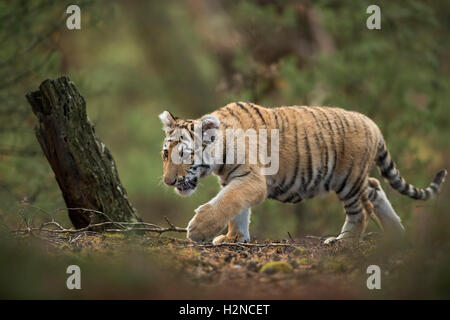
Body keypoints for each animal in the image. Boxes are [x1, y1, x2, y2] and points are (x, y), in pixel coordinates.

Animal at [158, 102, 446, 245]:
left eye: (184, 155)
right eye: (165, 155)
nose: (168, 182)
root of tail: (371, 123)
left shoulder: (253, 180)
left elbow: (228, 201)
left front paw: (198, 229)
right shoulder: (234, 179)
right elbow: (237, 209)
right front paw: (234, 238)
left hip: (348, 179)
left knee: (362, 209)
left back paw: (344, 242)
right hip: (355, 179)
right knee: (375, 187)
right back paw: (397, 236)